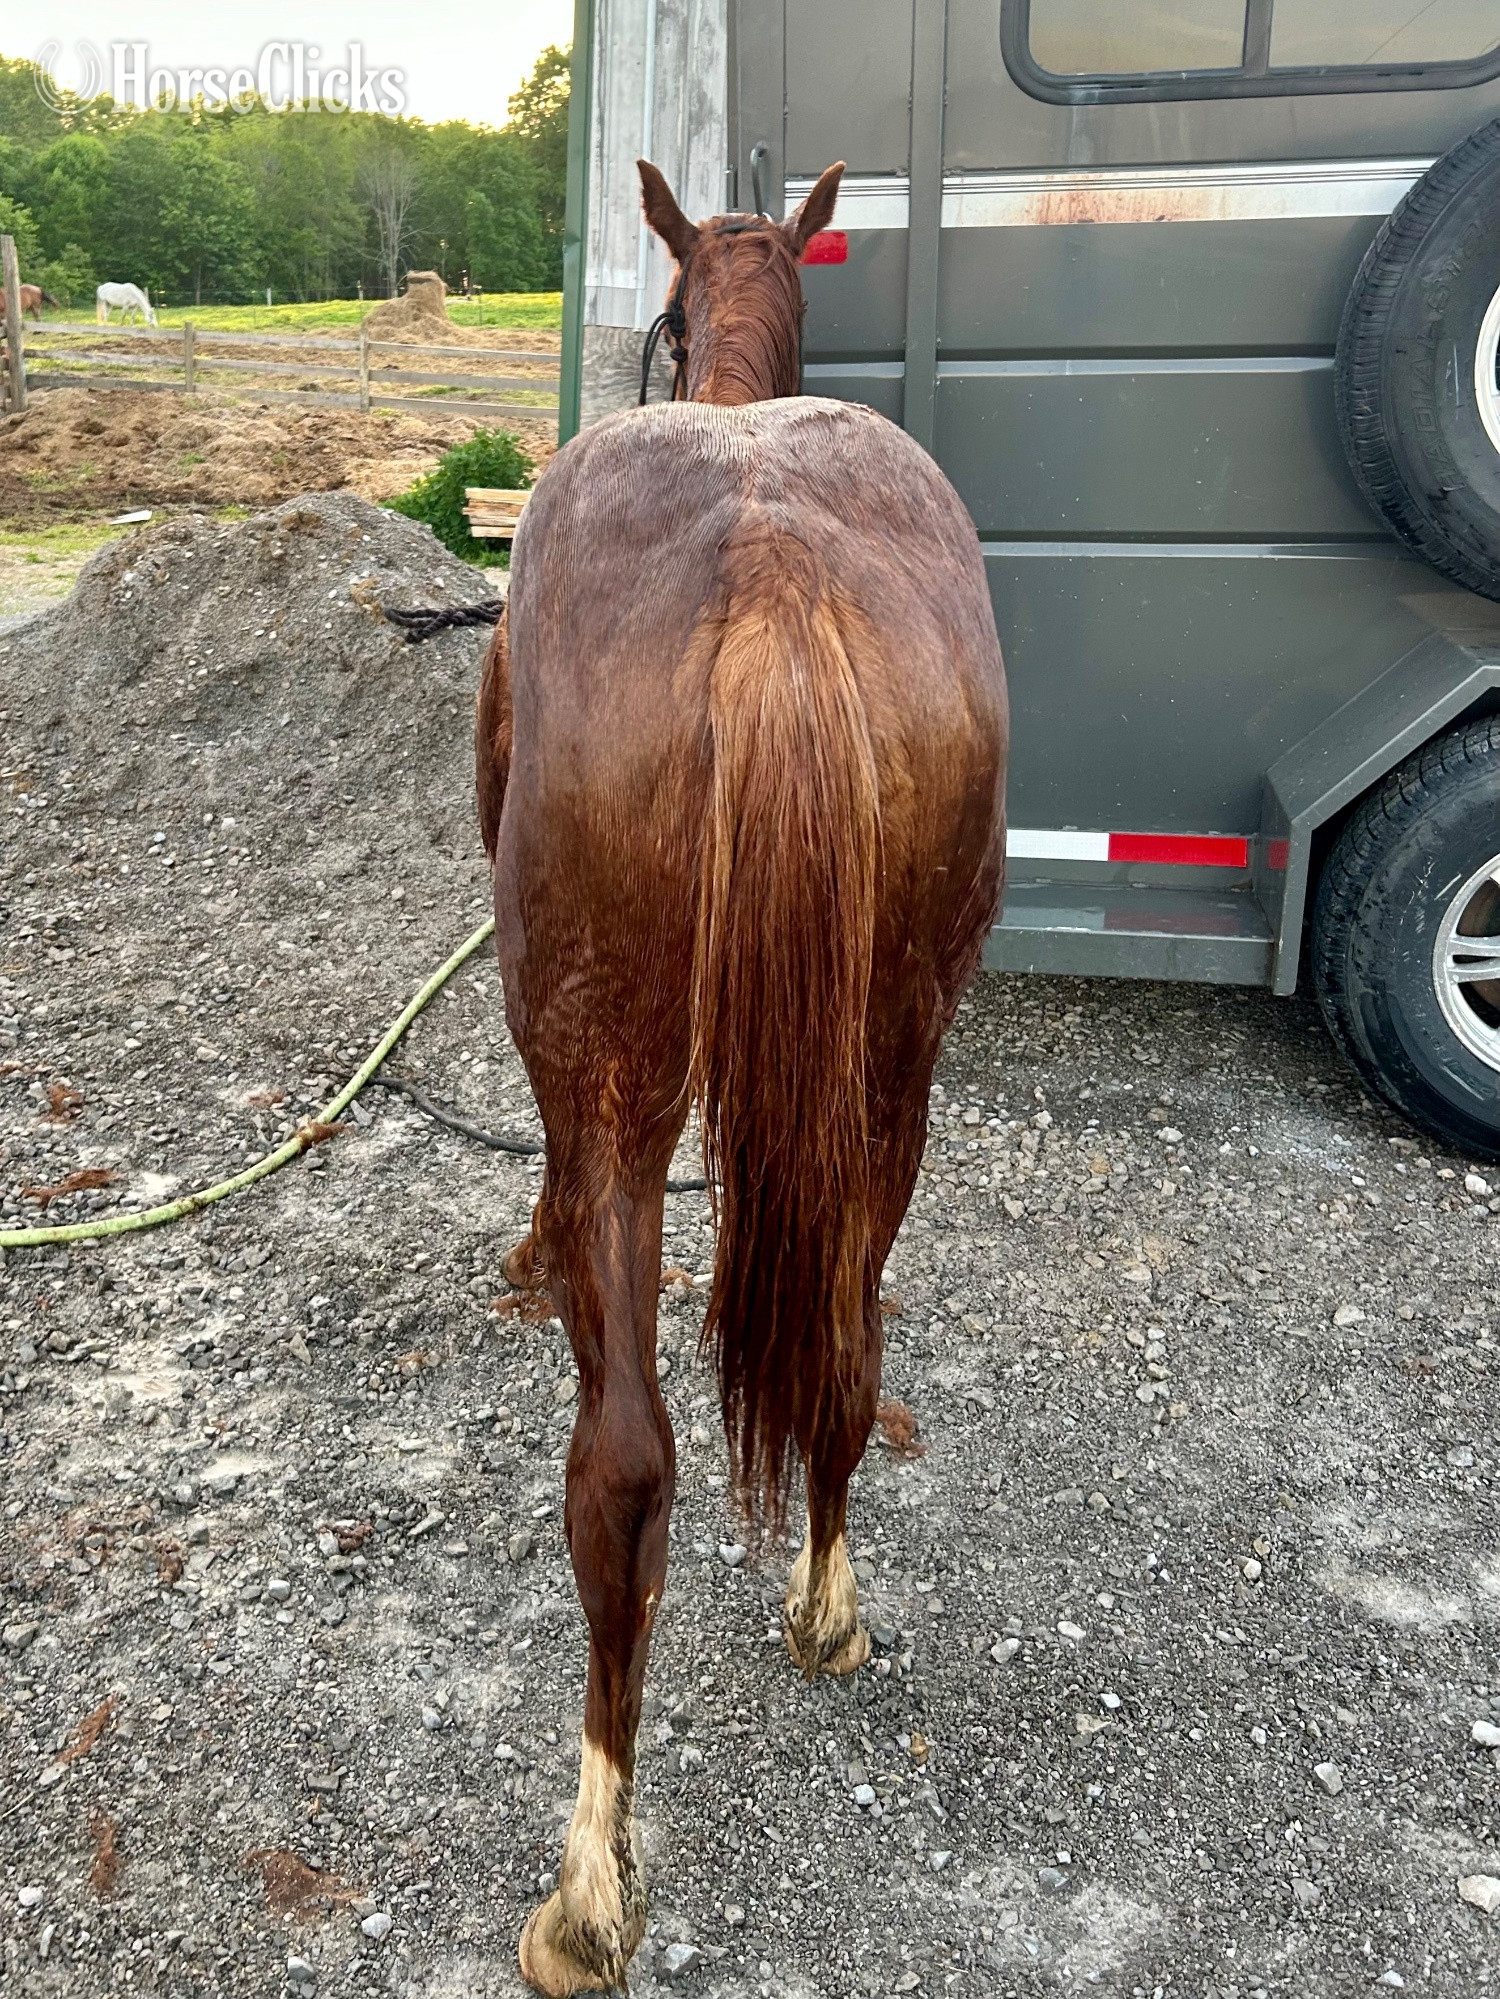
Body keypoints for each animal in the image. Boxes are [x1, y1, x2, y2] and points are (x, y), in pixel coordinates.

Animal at [475, 157, 1008, 1996]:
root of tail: (771, 571)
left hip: (613, 1069)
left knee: (620, 1467)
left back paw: (587, 1885)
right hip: (896, 1065)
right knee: (847, 1344)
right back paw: (827, 1608)